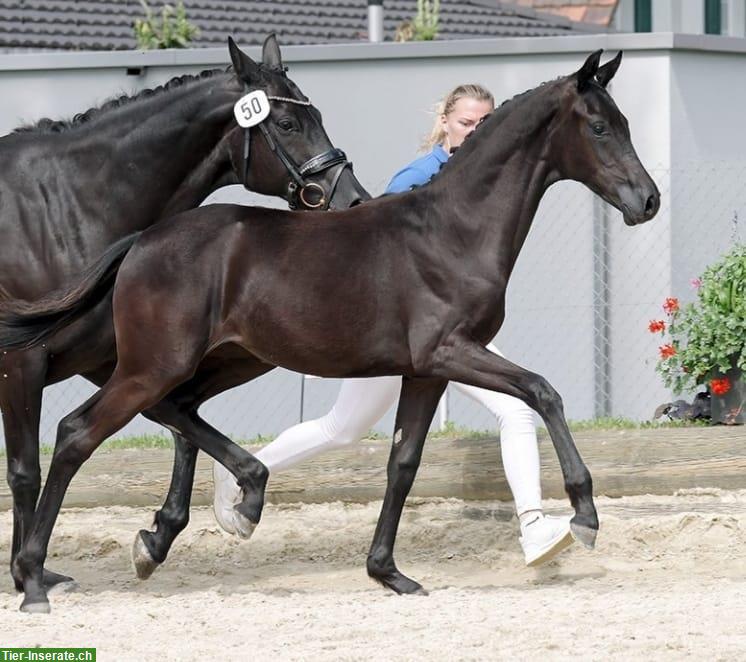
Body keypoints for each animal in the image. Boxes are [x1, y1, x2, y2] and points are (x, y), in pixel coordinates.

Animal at [1, 49, 656, 616]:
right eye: (600, 127)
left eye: (626, 122)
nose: (646, 201)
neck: (453, 230)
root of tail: (141, 239)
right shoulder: (451, 351)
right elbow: (545, 391)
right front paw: (584, 516)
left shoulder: (426, 371)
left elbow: (404, 462)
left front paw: (388, 572)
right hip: (152, 364)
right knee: (76, 433)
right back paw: (34, 578)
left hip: (222, 360)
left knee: (178, 412)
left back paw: (223, 507)